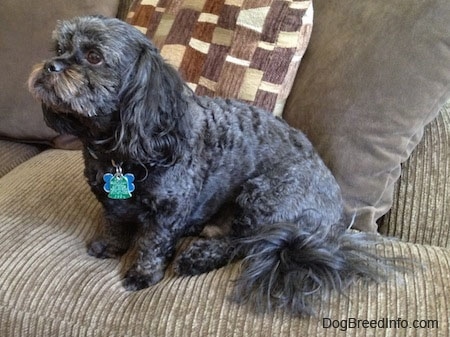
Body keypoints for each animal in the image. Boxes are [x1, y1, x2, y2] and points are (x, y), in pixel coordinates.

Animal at [29, 15, 394, 316]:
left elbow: (152, 243)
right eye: (59, 48)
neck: (119, 148)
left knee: (249, 244)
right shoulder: (112, 202)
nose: (49, 66)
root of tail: (335, 222)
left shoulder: (170, 209)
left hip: (265, 195)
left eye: (94, 56)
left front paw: (142, 274)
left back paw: (198, 257)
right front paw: (110, 246)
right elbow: (115, 222)